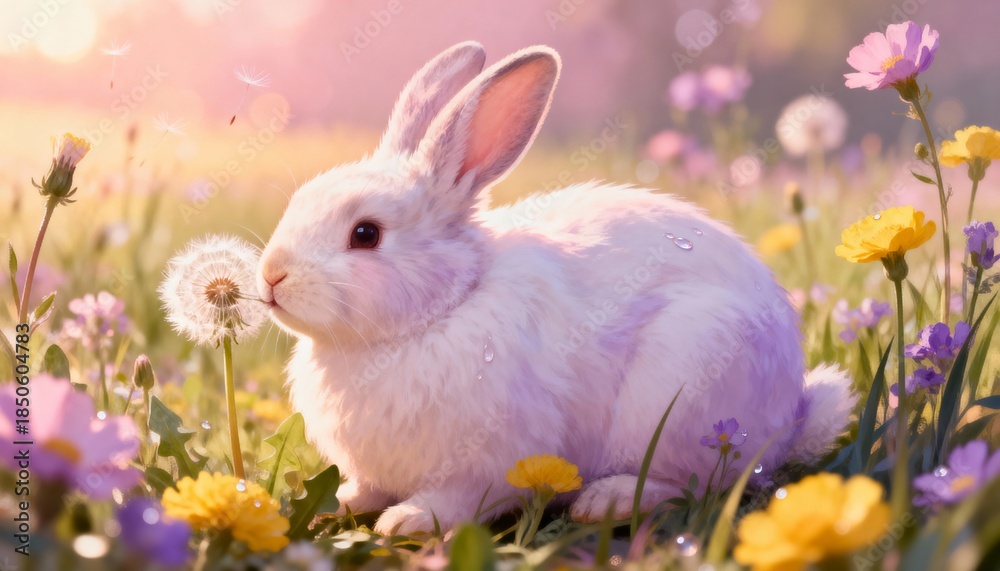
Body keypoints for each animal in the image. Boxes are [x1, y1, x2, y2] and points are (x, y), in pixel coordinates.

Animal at [256, 41, 856, 536]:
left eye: (366, 234)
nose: (271, 276)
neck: (443, 307)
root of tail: (789, 418)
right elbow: (369, 487)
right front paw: (339, 502)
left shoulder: (493, 457)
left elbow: (459, 498)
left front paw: (408, 521)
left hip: (690, 396)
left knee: (697, 484)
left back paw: (607, 501)